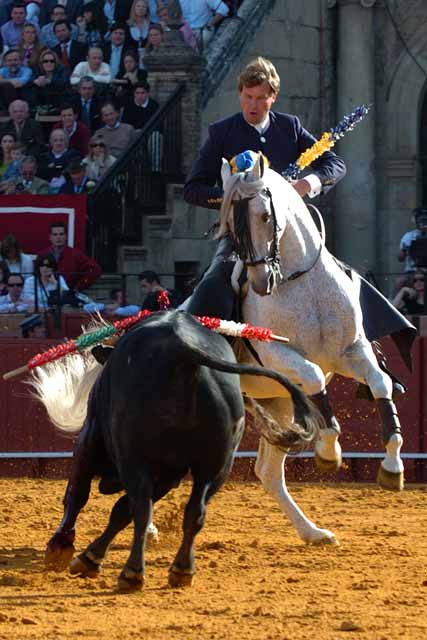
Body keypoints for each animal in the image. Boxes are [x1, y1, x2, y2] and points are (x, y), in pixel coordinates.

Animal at [45, 310, 320, 592]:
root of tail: (183, 350)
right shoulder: (170, 475)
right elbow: (121, 511)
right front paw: (90, 557)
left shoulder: (91, 441)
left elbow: (79, 495)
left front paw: (62, 546)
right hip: (216, 465)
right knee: (194, 512)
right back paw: (182, 569)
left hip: (134, 456)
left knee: (141, 509)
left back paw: (132, 573)